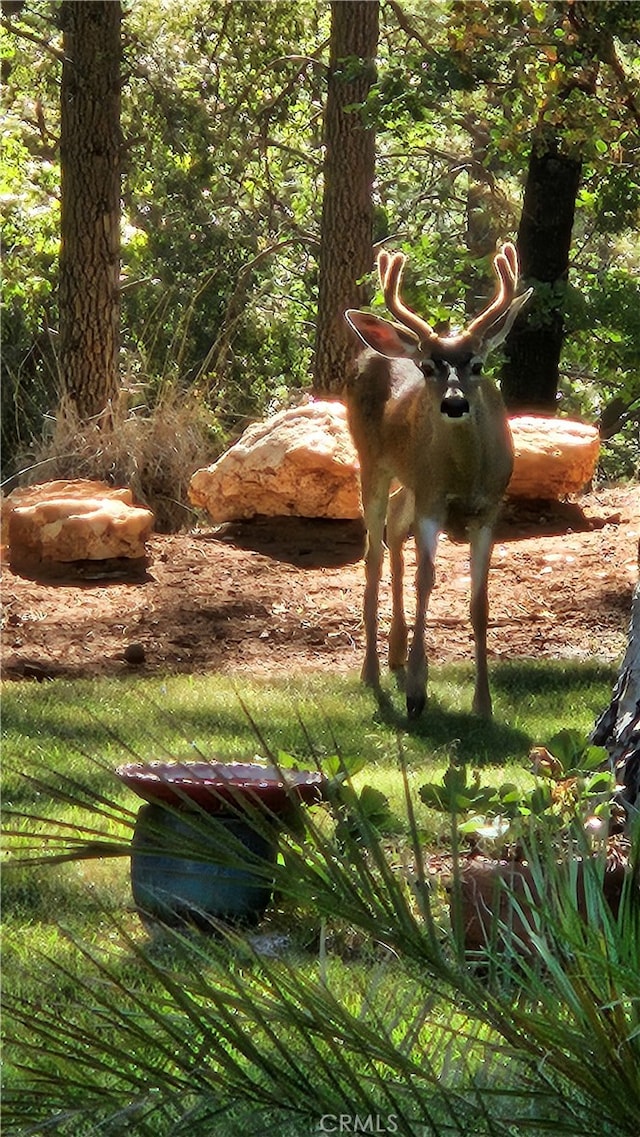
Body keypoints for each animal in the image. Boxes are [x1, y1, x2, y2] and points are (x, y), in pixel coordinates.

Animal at [345, 242, 532, 718]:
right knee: (374, 552)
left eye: (478, 364)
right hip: (372, 460)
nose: (453, 404)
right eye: (429, 367)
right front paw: (417, 690)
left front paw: (483, 704)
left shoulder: (489, 507)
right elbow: (425, 581)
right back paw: (372, 670)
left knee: (394, 525)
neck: (465, 474)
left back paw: (394, 651)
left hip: (411, 477)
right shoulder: (432, 499)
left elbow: (480, 602)